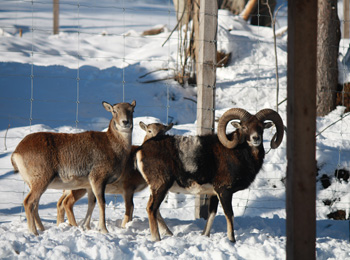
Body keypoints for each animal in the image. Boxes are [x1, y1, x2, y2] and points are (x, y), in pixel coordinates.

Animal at [11, 100, 136, 235]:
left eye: (131, 110)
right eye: (114, 111)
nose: (125, 122)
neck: (113, 147)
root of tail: (17, 152)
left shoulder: (89, 185)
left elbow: (91, 203)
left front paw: (86, 227)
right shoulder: (98, 179)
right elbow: (101, 202)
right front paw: (104, 230)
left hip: (33, 183)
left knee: (36, 204)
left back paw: (42, 229)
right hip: (41, 179)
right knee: (29, 202)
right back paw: (34, 232)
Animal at [136, 107, 284, 242]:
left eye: (261, 127)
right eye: (244, 127)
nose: (256, 138)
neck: (239, 153)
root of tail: (141, 149)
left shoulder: (214, 194)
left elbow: (211, 214)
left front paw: (205, 236)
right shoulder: (224, 191)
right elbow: (229, 215)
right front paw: (232, 240)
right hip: (161, 186)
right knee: (151, 209)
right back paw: (157, 239)